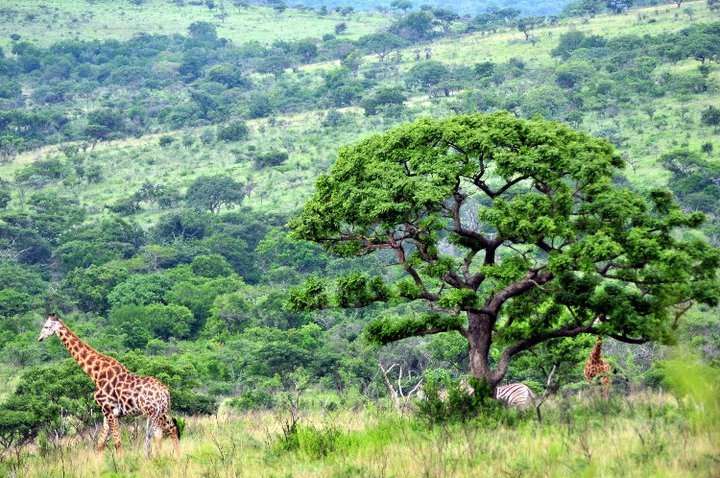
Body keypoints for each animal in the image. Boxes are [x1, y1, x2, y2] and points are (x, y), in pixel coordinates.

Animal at [38, 314, 181, 456]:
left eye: (46, 326)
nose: (39, 338)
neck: (95, 373)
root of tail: (165, 391)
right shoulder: (107, 413)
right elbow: (101, 444)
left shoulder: (109, 410)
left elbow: (117, 442)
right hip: (161, 411)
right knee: (172, 429)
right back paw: (174, 457)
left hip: (152, 411)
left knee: (159, 434)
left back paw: (158, 458)